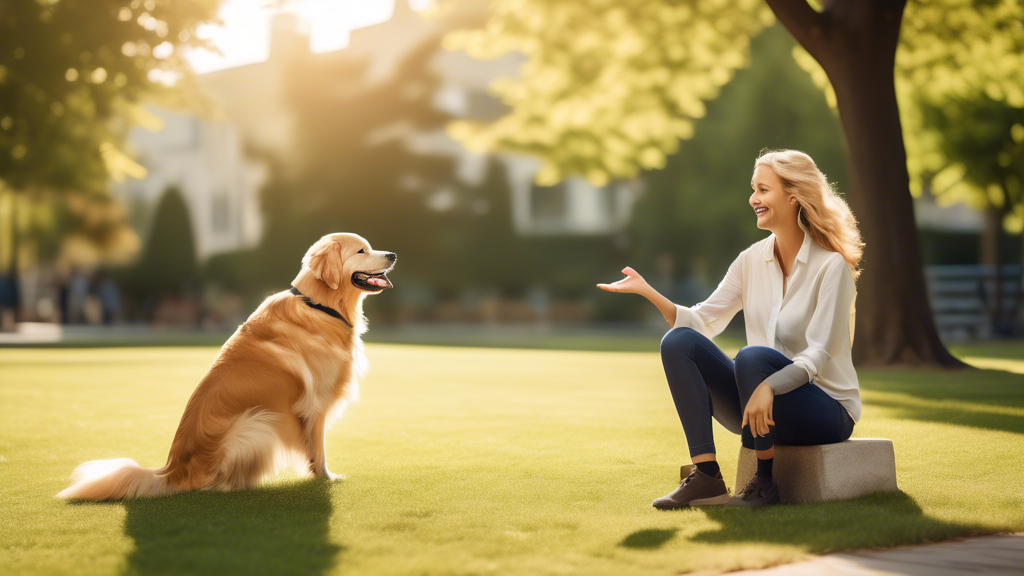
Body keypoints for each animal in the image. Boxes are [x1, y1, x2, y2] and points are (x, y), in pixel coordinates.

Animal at [58, 233, 395, 498]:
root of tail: (171, 470)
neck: (319, 304)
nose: (393, 254)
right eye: (361, 250)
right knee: (215, 484)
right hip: (257, 422)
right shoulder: (314, 405)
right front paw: (325, 478)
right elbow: (318, 450)